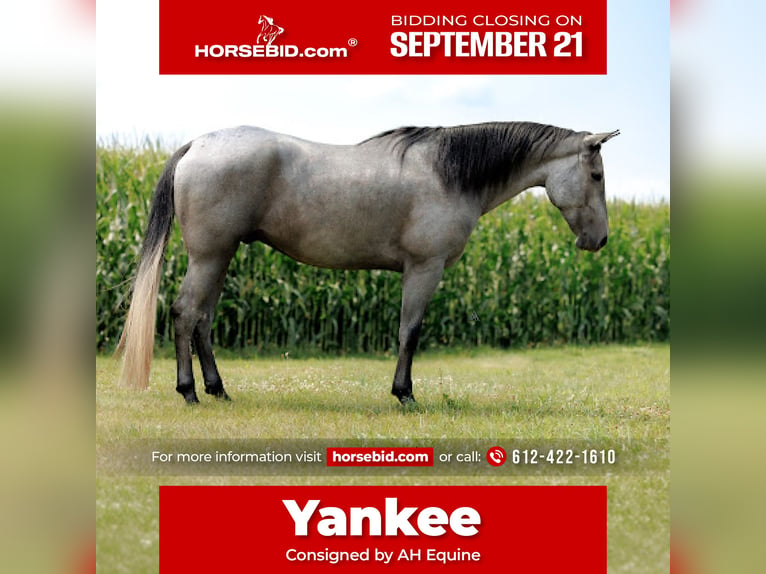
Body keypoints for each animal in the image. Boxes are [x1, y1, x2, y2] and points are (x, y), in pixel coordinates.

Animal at [116, 122, 619, 405]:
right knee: (185, 313)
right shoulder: (424, 268)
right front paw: (405, 395)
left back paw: (218, 390)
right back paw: (189, 392)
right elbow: (409, 332)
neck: (448, 173)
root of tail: (198, 145)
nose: (600, 240)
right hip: (210, 256)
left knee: (202, 319)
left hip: (222, 256)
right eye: (595, 175)